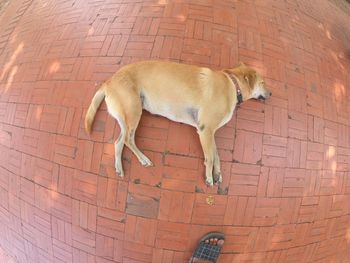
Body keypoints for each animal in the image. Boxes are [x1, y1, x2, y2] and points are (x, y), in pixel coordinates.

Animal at [84, 61, 270, 187]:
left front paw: (217, 174)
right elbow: (210, 157)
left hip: (126, 116)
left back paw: (119, 168)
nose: (271, 93)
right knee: (128, 140)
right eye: (262, 83)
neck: (232, 83)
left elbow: (216, 155)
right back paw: (143, 159)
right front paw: (209, 177)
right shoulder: (205, 130)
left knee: (118, 142)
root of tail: (108, 81)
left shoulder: (210, 133)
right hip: (134, 110)